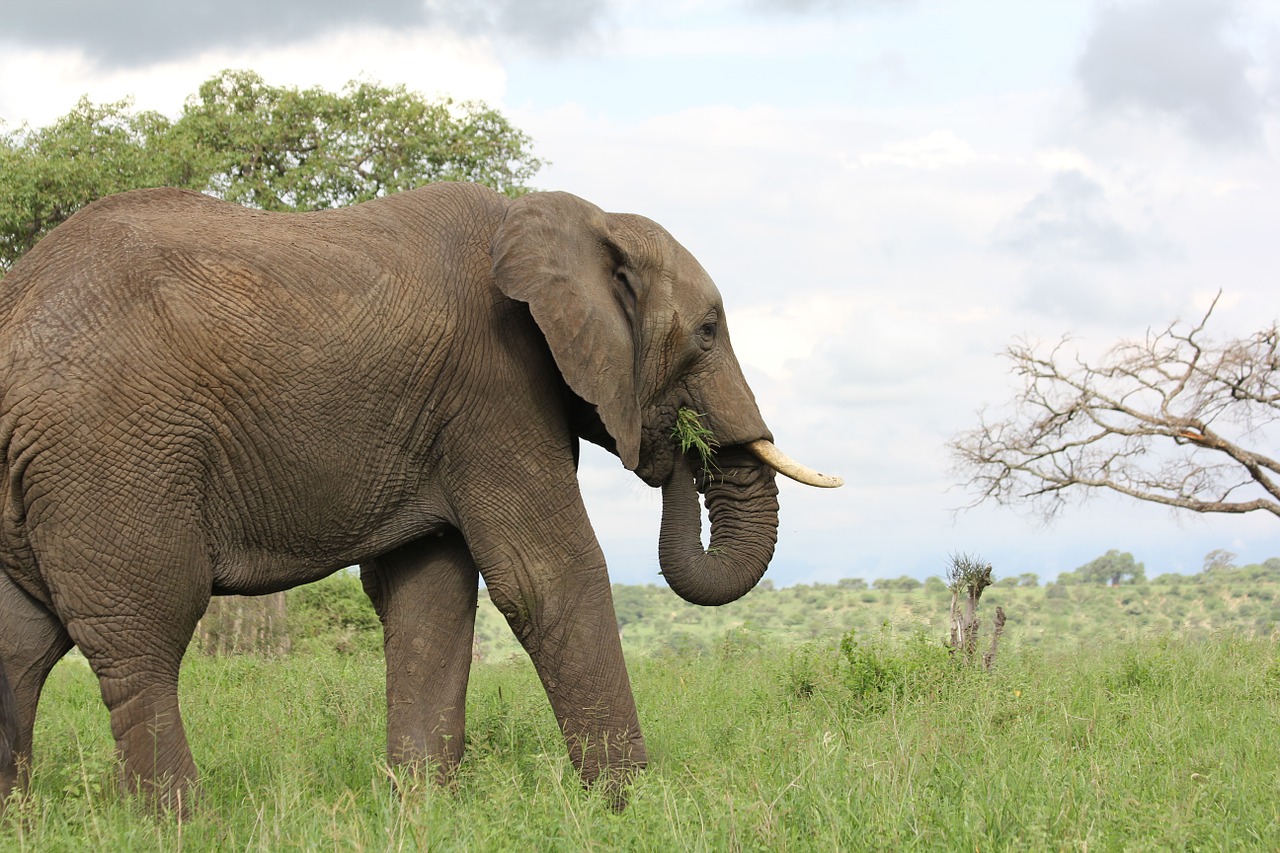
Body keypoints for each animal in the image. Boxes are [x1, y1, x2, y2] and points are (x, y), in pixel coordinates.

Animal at [0, 180, 839, 809]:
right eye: (707, 332)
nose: (679, 446)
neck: (571, 219)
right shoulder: (495, 384)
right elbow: (546, 574)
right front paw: (635, 808)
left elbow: (428, 592)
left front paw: (422, 808)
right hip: (108, 452)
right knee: (143, 635)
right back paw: (184, 821)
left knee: (21, 642)